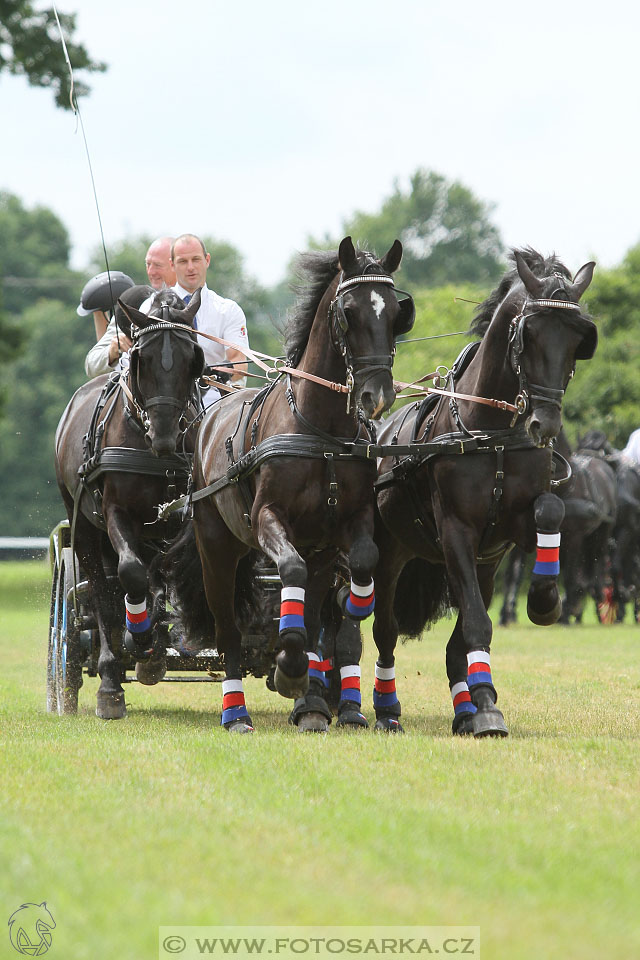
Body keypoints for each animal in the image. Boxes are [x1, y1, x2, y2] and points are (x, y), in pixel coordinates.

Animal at [56, 288, 205, 716]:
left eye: (193, 357)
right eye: (142, 358)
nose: (165, 434)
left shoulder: (183, 513)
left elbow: (166, 569)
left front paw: (158, 642)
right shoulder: (115, 514)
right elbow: (131, 574)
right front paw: (139, 639)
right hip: (85, 528)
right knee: (102, 592)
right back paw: (110, 680)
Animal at [164, 236, 410, 732]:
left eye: (396, 312)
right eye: (348, 312)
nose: (377, 396)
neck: (321, 431)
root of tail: (203, 421)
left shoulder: (348, 525)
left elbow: (363, 563)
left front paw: (354, 606)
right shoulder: (267, 518)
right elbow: (290, 572)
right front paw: (290, 670)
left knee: (311, 613)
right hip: (215, 546)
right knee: (227, 628)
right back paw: (237, 711)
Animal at [370, 246, 596, 736]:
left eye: (578, 340)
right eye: (529, 334)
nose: (545, 425)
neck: (490, 435)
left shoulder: (504, 537)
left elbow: (550, 512)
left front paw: (545, 602)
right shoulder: (456, 531)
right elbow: (476, 623)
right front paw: (489, 709)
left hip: (478, 563)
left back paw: (465, 709)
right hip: (389, 553)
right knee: (382, 629)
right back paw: (383, 709)